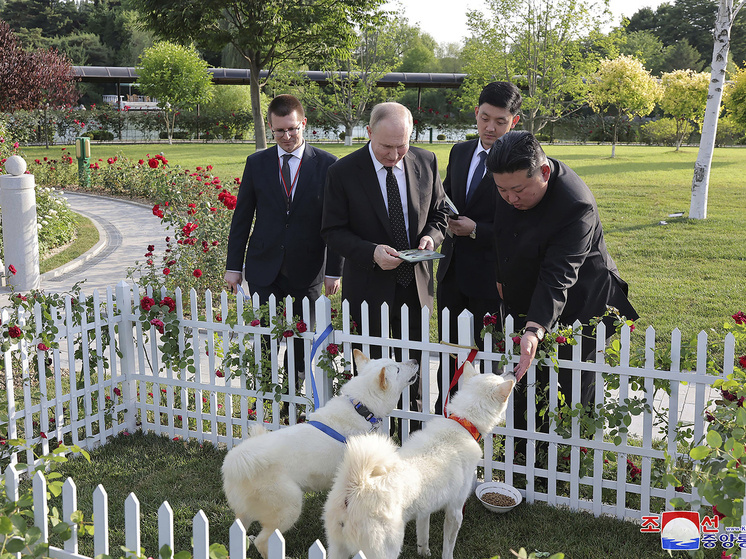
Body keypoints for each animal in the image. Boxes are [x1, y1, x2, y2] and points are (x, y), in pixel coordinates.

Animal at [221, 350, 418, 556]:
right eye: (397, 368)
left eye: (395, 362)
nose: (414, 360)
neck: (361, 409)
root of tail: (234, 462)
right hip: (290, 506)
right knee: (263, 541)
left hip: (247, 512)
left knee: (240, 530)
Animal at [322, 364, 512, 559]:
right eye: (499, 376)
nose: (513, 372)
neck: (463, 424)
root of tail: (357, 485)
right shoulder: (455, 511)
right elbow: (448, 547)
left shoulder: (425, 510)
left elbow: (423, 533)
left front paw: (424, 552)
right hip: (385, 550)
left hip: (337, 548)